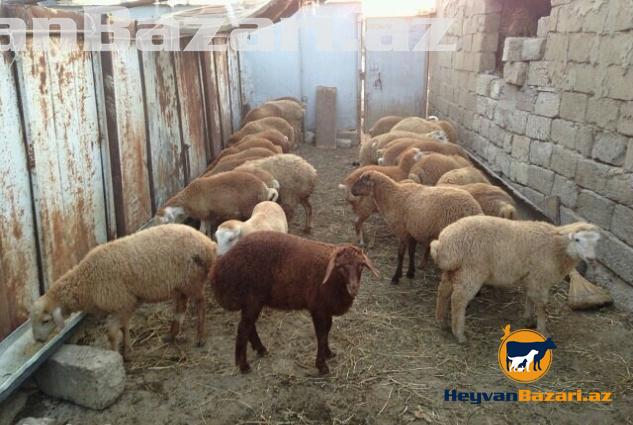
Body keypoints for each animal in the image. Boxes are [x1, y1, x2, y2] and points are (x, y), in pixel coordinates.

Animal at [30, 224, 217, 359]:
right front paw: (127, 350)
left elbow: (112, 333)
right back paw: (171, 335)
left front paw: (116, 356)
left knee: (201, 304)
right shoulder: (125, 305)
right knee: (181, 307)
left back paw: (200, 337)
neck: (86, 282)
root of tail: (208, 243)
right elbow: (124, 327)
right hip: (181, 284)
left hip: (192, 280)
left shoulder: (123, 302)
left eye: (45, 321)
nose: (38, 340)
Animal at [209, 231, 379, 374]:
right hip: (252, 298)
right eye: (341, 267)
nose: (353, 288)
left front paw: (328, 353)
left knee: (249, 326)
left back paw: (260, 349)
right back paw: (244, 365)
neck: (332, 278)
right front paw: (322, 365)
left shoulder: (326, 307)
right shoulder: (317, 307)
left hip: (252, 300)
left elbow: (327, 330)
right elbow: (321, 334)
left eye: (361, 266)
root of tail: (220, 267)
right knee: (243, 329)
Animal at [351, 171, 483, 284]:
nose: (352, 190)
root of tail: (475, 209)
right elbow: (411, 252)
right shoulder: (412, 232)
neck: (392, 197)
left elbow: (401, 254)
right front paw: (410, 272)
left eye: (362, 181)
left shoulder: (402, 231)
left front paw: (396, 277)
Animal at [430, 217, 601, 343]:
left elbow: (530, 298)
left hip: (455, 269)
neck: (556, 247)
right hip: (471, 270)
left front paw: (528, 319)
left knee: (443, 290)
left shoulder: (532, 278)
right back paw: (459, 334)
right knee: (458, 300)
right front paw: (543, 330)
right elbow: (542, 306)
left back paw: (441, 321)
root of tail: (443, 243)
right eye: (577, 240)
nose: (592, 259)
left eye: (596, 242)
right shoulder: (539, 278)